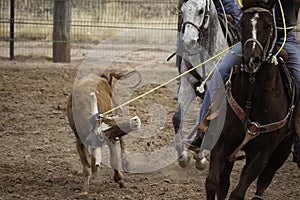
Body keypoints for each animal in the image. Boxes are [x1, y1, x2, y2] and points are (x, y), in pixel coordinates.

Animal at [172, 0, 229, 167]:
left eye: (201, 10)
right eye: (182, 10)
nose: (188, 41)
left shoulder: (216, 91)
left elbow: (209, 120)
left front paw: (201, 157)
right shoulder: (187, 86)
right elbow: (177, 118)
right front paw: (183, 156)